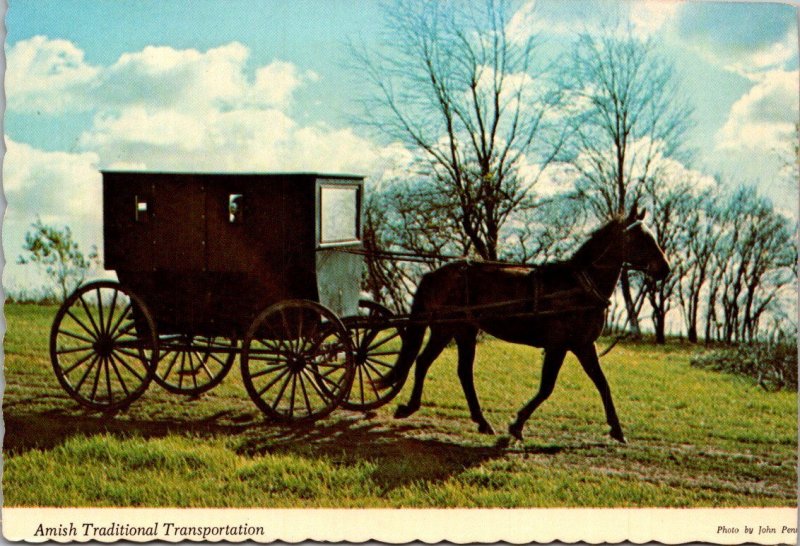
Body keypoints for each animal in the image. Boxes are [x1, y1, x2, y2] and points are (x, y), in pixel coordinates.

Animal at [376, 205, 668, 442]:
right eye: (641, 238)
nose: (664, 269)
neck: (578, 285)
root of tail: (437, 273)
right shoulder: (558, 346)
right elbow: (547, 387)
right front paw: (517, 425)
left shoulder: (583, 345)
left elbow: (602, 384)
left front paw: (617, 430)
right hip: (447, 328)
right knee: (427, 363)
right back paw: (414, 408)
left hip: (462, 331)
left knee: (452, 369)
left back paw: (476, 420)